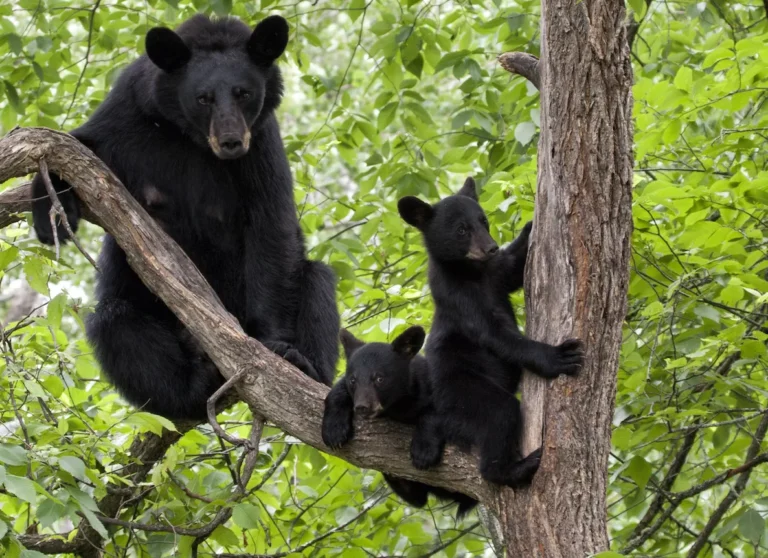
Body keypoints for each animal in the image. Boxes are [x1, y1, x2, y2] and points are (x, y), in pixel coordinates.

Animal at [30, 14, 340, 420]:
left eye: (243, 93)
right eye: (203, 97)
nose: (231, 141)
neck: (191, 138)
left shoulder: (262, 144)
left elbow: (271, 225)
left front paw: (277, 347)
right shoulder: (128, 111)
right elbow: (79, 145)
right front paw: (49, 212)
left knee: (317, 281)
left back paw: (307, 365)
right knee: (116, 323)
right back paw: (192, 387)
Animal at [320, 326, 476, 520]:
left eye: (379, 378)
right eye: (353, 380)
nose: (362, 407)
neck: (398, 406)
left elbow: (437, 413)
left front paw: (423, 452)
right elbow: (337, 392)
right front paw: (334, 431)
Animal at [396, 177, 584, 488]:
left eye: (483, 221)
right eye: (462, 229)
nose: (491, 247)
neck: (472, 272)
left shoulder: (496, 274)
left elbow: (514, 269)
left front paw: (530, 226)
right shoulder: (459, 298)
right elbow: (496, 335)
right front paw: (558, 357)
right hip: (462, 390)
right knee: (500, 414)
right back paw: (514, 468)